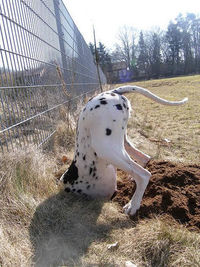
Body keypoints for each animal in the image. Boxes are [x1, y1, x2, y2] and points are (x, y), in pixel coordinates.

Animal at [60, 87, 188, 217]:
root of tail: (112, 92)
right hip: (121, 144)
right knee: (144, 159)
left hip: (105, 149)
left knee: (144, 175)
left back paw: (133, 205)